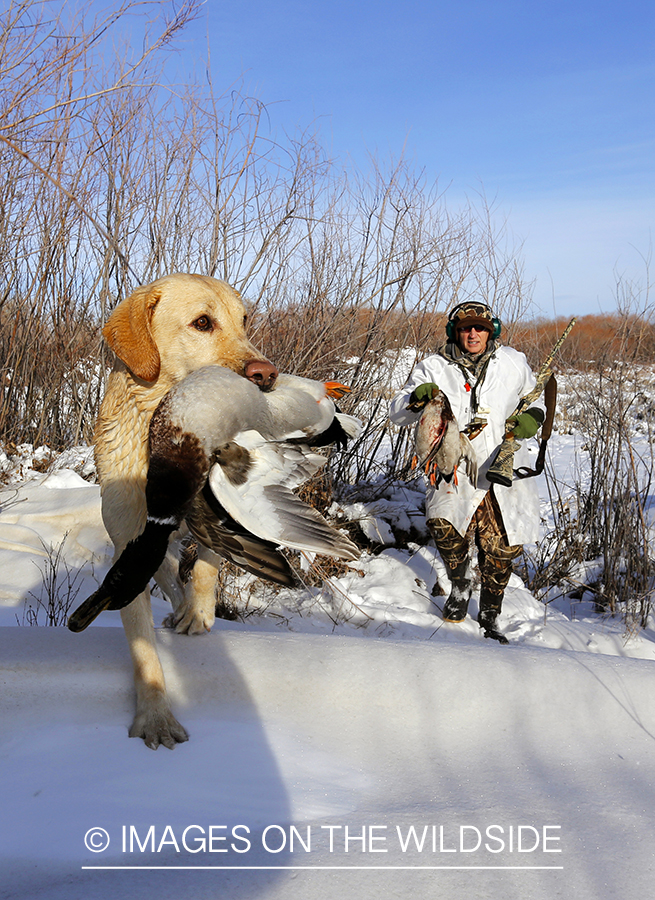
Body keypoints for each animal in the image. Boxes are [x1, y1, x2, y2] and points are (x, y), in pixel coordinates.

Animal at [93, 270, 276, 748]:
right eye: (202, 323)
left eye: (244, 320)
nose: (267, 374)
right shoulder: (129, 546)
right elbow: (143, 648)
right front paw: (155, 717)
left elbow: (209, 566)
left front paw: (198, 612)